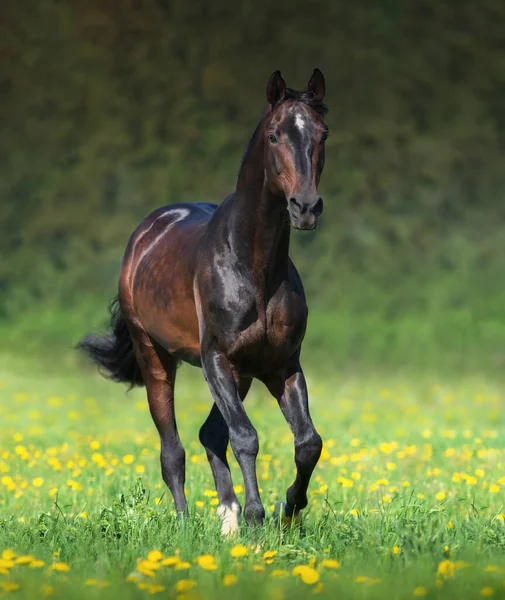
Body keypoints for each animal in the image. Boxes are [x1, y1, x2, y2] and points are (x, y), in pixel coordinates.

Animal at [77, 70, 328, 536]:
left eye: (323, 133)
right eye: (274, 135)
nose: (305, 207)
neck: (254, 266)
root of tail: (147, 232)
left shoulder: (281, 365)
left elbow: (307, 442)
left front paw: (287, 512)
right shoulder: (216, 359)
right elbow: (246, 437)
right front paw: (256, 518)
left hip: (242, 374)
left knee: (211, 434)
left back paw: (227, 517)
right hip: (156, 358)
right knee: (172, 449)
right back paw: (185, 523)